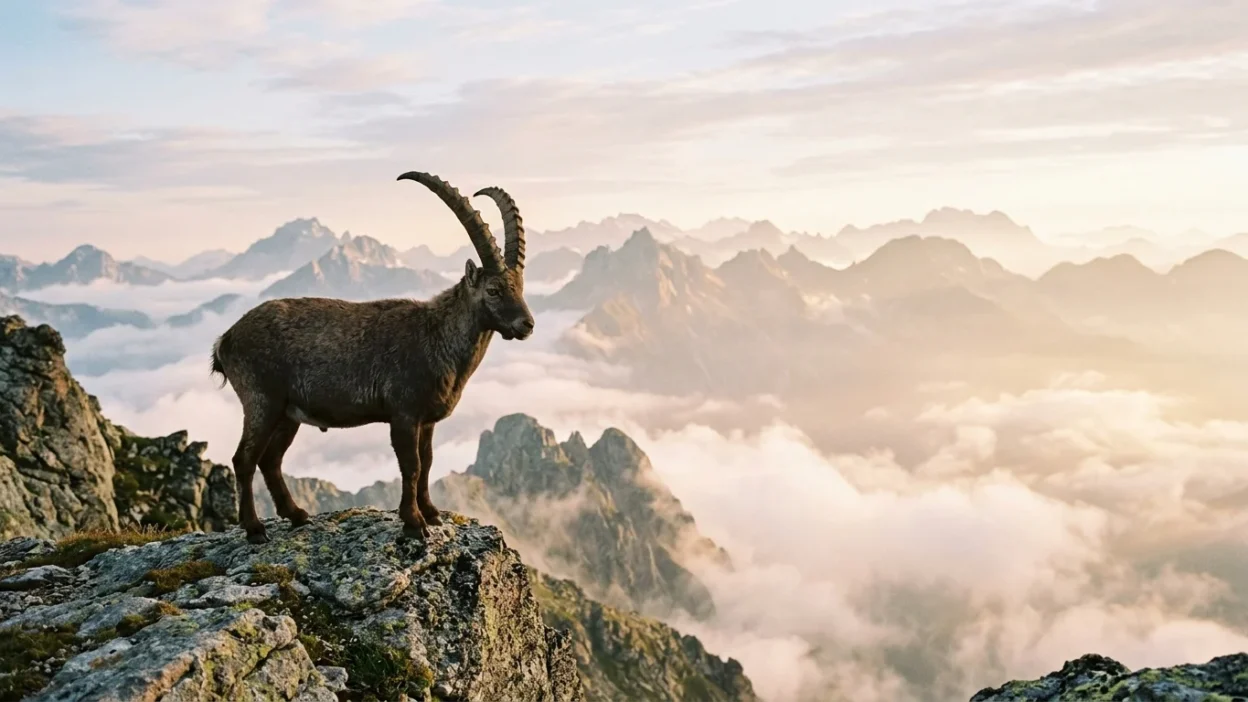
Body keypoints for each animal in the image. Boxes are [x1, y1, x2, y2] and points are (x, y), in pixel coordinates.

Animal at [210, 171, 534, 544]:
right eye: (493, 290)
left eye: (520, 287)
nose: (527, 324)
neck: (437, 335)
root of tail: (226, 339)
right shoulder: (403, 414)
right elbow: (412, 466)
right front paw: (413, 522)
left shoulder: (427, 421)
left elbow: (428, 462)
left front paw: (432, 513)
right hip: (262, 401)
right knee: (244, 459)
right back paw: (254, 528)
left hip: (288, 414)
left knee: (270, 460)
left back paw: (297, 515)